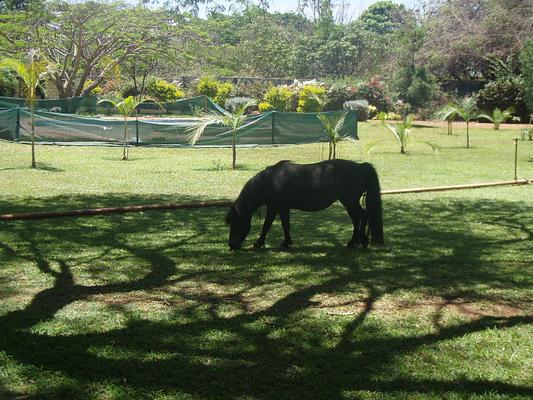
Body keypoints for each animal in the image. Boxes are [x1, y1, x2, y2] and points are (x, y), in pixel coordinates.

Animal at [224, 159, 382, 250]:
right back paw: (355, 242)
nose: (232, 245)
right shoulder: (274, 208)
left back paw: (360, 242)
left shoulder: (281, 208)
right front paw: (271, 242)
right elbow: (268, 225)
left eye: (235, 222)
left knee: (362, 217)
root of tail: (360, 167)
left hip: (349, 201)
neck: (270, 181)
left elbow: (282, 225)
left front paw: (283, 243)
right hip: (350, 203)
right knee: (358, 219)